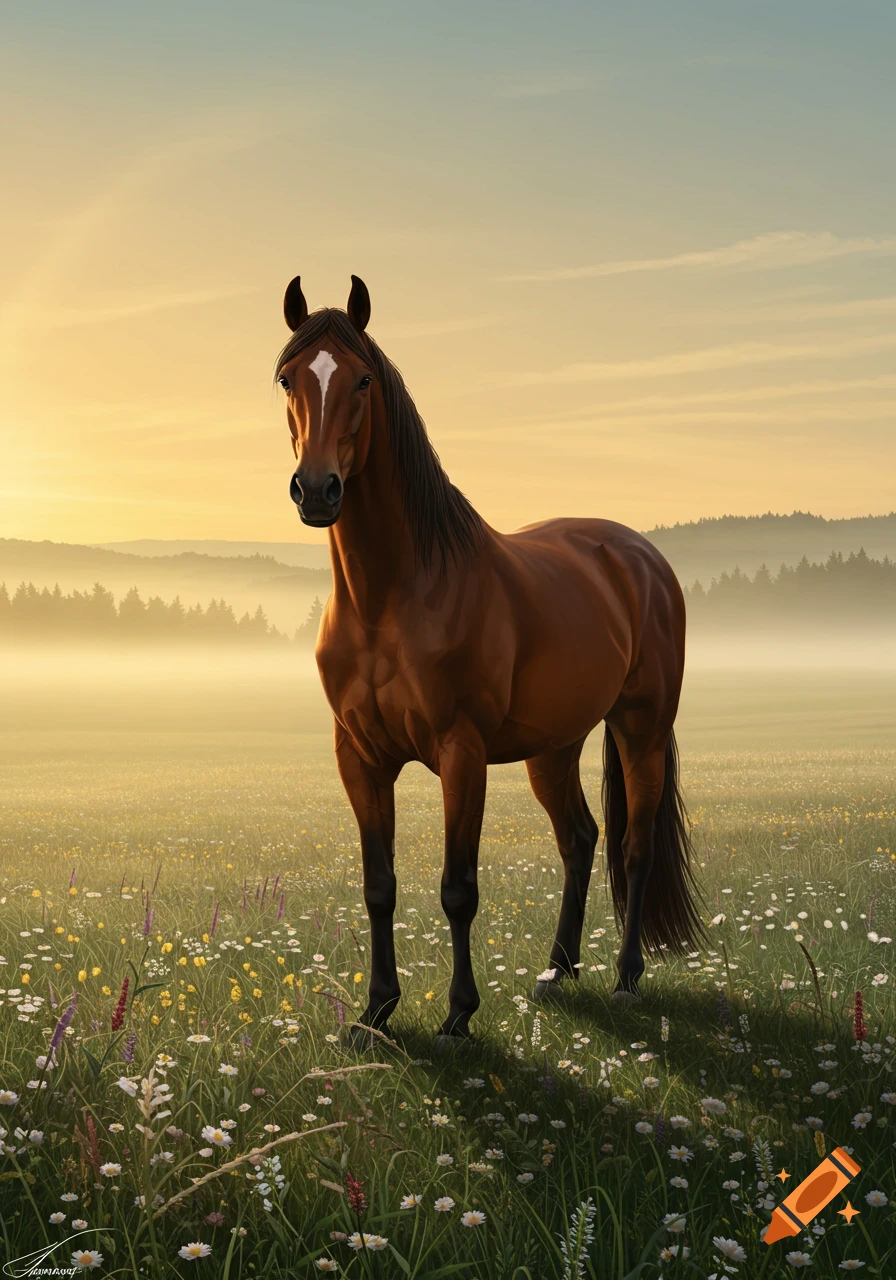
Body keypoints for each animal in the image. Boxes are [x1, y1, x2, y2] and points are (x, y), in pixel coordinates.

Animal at [275, 274, 705, 1043]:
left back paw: (626, 980)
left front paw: (457, 1016)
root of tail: (640, 556)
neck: (393, 594)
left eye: (362, 379)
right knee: (579, 838)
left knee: (635, 847)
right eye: (286, 377)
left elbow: (458, 888)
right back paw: (556, 972)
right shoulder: (358, 755)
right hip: (554, 746)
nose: (317, 490)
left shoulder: (461, 751)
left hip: (641, 729)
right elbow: (378, 885)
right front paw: (376, 1012)